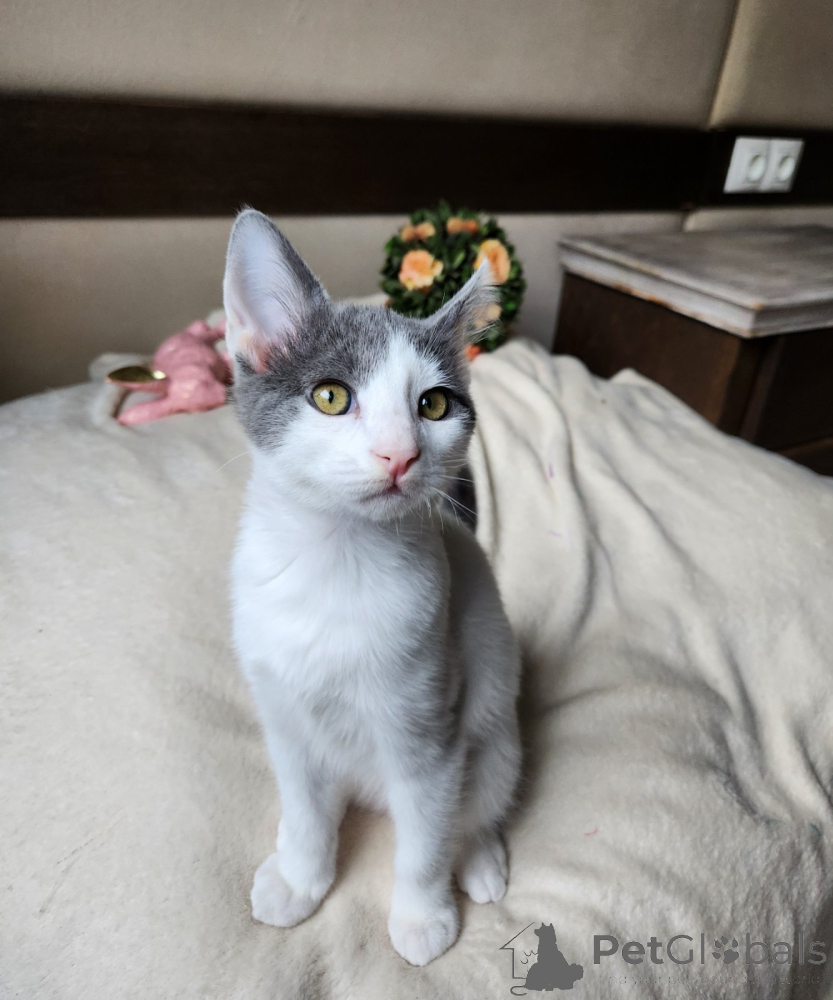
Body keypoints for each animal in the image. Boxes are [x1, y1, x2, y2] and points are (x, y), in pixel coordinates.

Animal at [223, 209, 521, 967]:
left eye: (434, 404)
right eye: (331, 396)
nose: (399, 455)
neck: (336, 559)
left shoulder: (429, 725)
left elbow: (425, 840)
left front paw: (421, 918)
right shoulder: (283, 716)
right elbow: (305, 808)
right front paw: (302, 878)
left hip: (495, 726)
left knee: (475, 803)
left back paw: (479, 859)